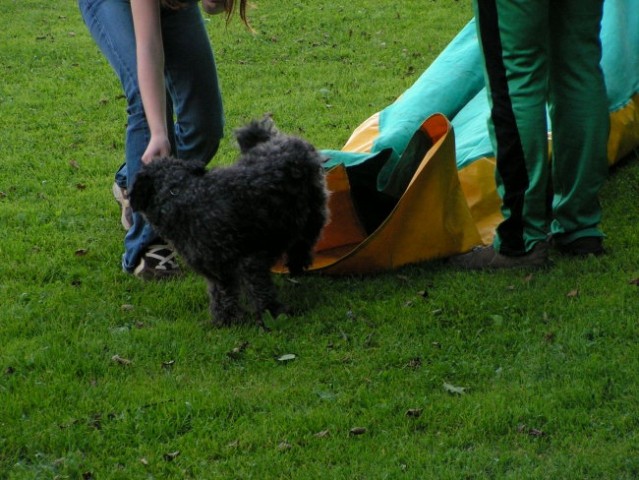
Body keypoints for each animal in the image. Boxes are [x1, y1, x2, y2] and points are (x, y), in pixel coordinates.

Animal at [130, 118, 330, 328]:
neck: (182, 195)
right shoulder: (217, 270)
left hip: (313, 212)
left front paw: (273, 313)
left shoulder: (250, 260)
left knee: (304, 241)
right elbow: (221, 294)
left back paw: (298, 264)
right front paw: (226, 319)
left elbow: (260, 290)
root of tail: (283, 140)